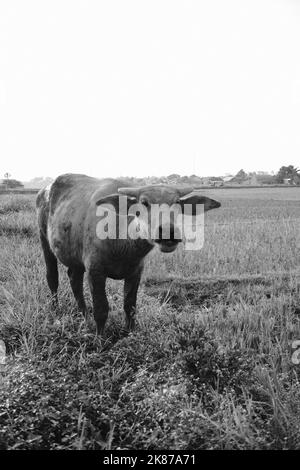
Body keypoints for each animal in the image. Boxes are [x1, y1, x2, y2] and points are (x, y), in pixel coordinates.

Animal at [37, 173, 220, 334]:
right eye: (144, 202)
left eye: (176, 202)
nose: (168, 231)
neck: (122, 242)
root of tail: (44, 191)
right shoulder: (95, 271)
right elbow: (101, 309)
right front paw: (100, 338)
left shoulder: (135, 272)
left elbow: (129, 306)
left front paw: (129, 333)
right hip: (44, 240)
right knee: (52, 278)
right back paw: (55, 310)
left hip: (75, 258)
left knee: (74, 279)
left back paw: (85, 315)